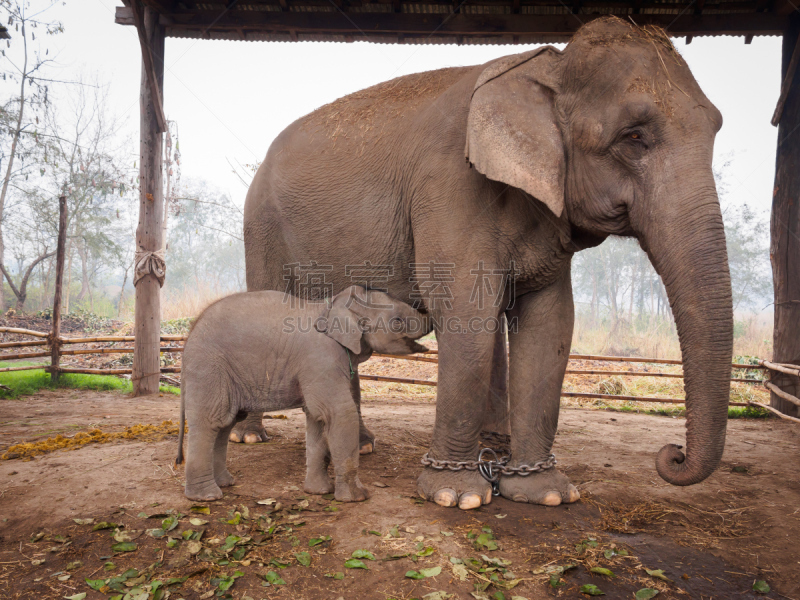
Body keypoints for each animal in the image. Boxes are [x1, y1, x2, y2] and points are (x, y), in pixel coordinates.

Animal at [177, 286, 432, 502]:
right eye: (397, 321)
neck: (333, 305)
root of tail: (188, 338)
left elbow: (317, 418)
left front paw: (319, 492)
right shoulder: (321, 359)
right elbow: (338, 413)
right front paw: (357, 498)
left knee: (225, 423)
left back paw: (225, 483)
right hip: (209, 369)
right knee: (211, 420)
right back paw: (206, 497)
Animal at [230, 16, 732, 508]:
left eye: (716, 130)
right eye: (634, 137)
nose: (672, 454)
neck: (548, 67)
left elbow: (549, 321)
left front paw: (545, 492)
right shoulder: (449, 186)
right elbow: (466, 311)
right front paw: (456, 495)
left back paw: (363, 444)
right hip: (261, 224)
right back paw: (249, 437)